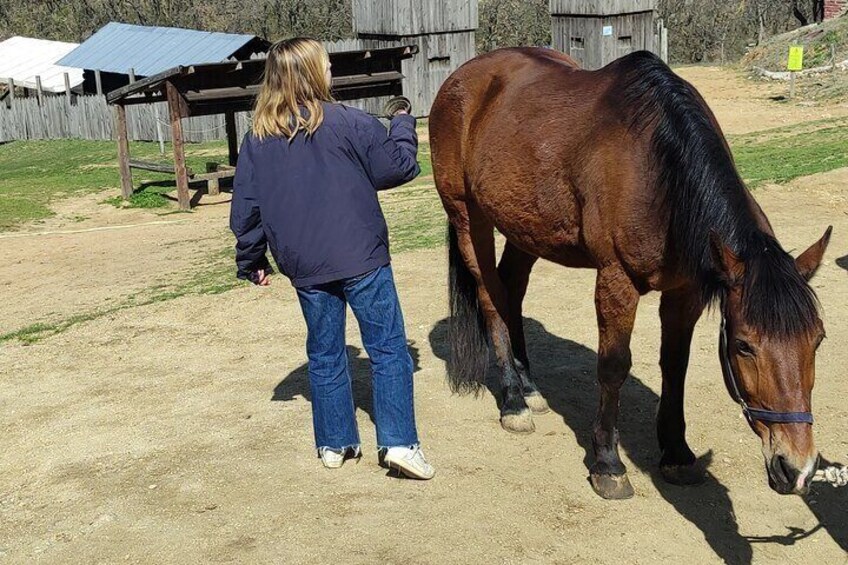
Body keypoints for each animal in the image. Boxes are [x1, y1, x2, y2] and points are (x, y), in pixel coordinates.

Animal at [434, 48, 832, 498]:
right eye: (744, 346)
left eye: (817, 340)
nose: (797, 468)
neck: (658, 172)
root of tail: (462, 77)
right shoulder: (616, 280)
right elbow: (613, 366)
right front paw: (608, 463)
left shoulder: (685, 292)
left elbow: (675, 364)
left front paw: (676, 452)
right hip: (469, 218)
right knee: (491, 298)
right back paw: (514, 402)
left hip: (526, 228)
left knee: (511, 290)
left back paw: (529, 387)